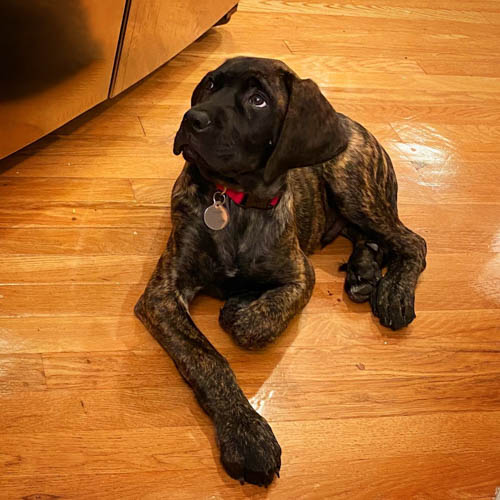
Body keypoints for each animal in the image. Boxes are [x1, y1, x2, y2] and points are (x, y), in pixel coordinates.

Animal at [135, 56, 428, 486]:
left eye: (258, 100)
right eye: (210, 85)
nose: (192, 118)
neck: (233, 200)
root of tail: (354, 125)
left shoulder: (300, 273)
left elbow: (257, 323)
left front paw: (241, 310)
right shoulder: (162, 294)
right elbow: (208, 360)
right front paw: (247, 435)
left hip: (352, 187)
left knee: (412, 241)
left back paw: (392, 292)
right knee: (372, 238)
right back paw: (363, 274)